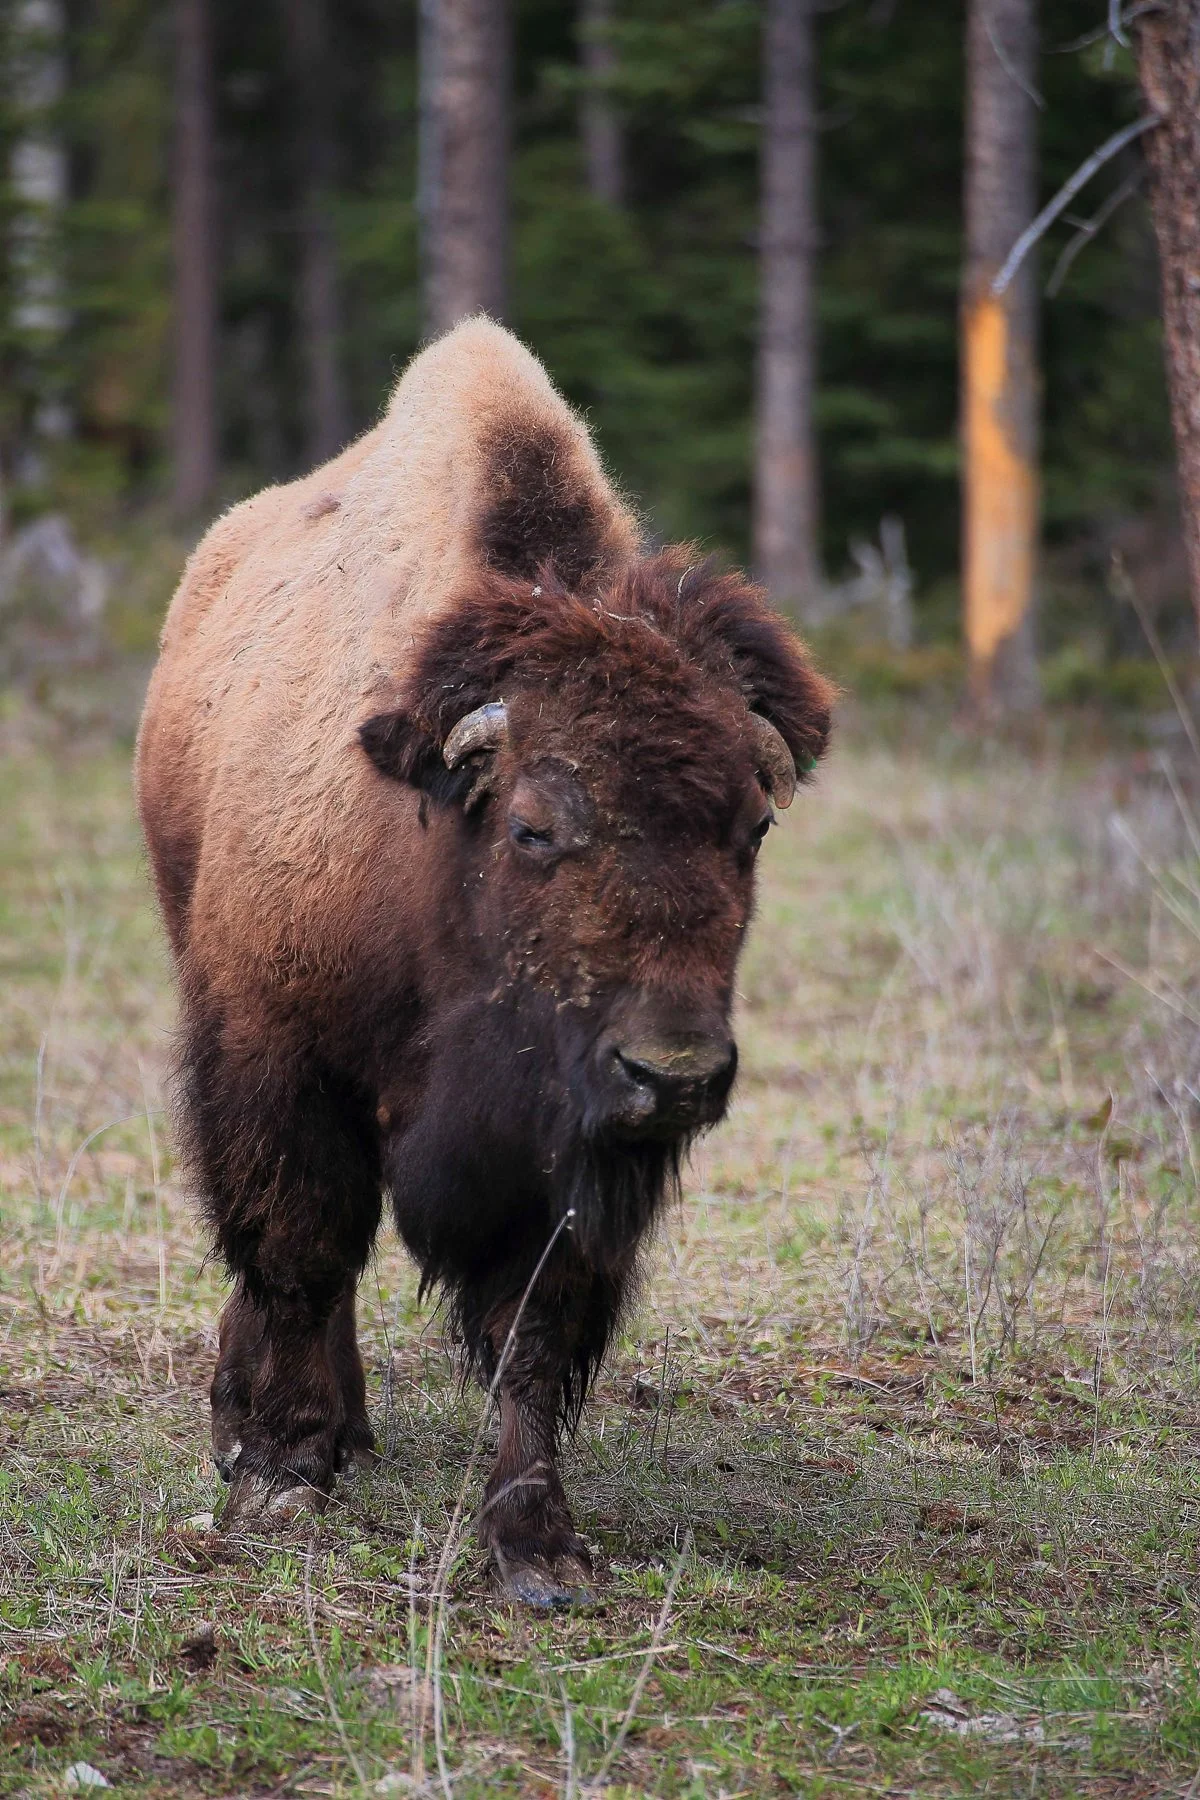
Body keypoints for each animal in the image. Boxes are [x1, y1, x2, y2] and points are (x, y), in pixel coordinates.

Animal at [136, 319, 833, 1603]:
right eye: (534, 827)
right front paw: (281, 1476)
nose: (675, 1076)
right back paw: (263, 1428)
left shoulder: (567, 1149)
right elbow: (302, 1248)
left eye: (754, 826)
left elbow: (535, 1326)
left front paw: (538, 1547)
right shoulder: (279, 1055)